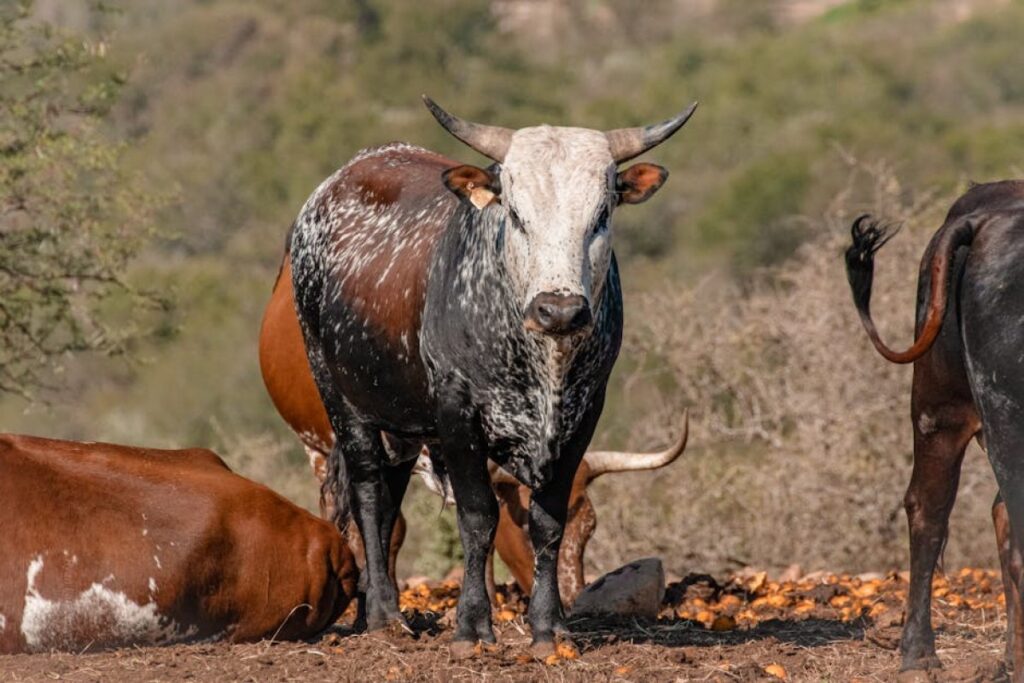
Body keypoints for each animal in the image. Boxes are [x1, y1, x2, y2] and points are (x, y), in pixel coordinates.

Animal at [845, 180, 1024, 679]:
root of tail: (984, 215)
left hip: (950, 408)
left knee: (966, 512)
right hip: (967, 413)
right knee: (935, 511)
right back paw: (920, 655)